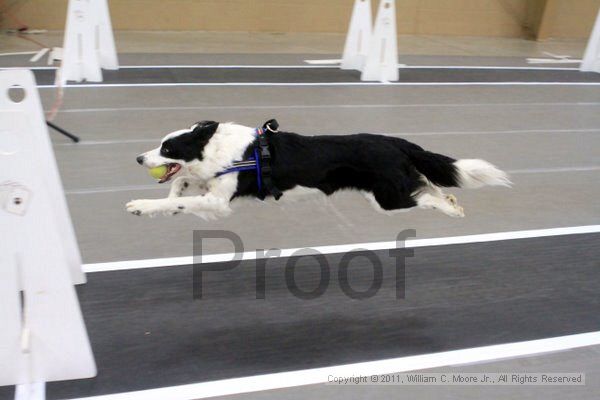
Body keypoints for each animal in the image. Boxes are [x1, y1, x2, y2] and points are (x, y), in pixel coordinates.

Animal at [127, 121, 510, 220]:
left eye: (167, 148)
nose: (139, 159)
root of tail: (395, 141)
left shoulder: (219, 202)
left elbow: (175, 198)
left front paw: (141, 206)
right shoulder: (209, 187)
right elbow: (181, 186)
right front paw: (169, 195)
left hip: (387, 199)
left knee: (426, 197)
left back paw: (451, 208)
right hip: (393, 189)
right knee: (427, 183)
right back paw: (451, 200)